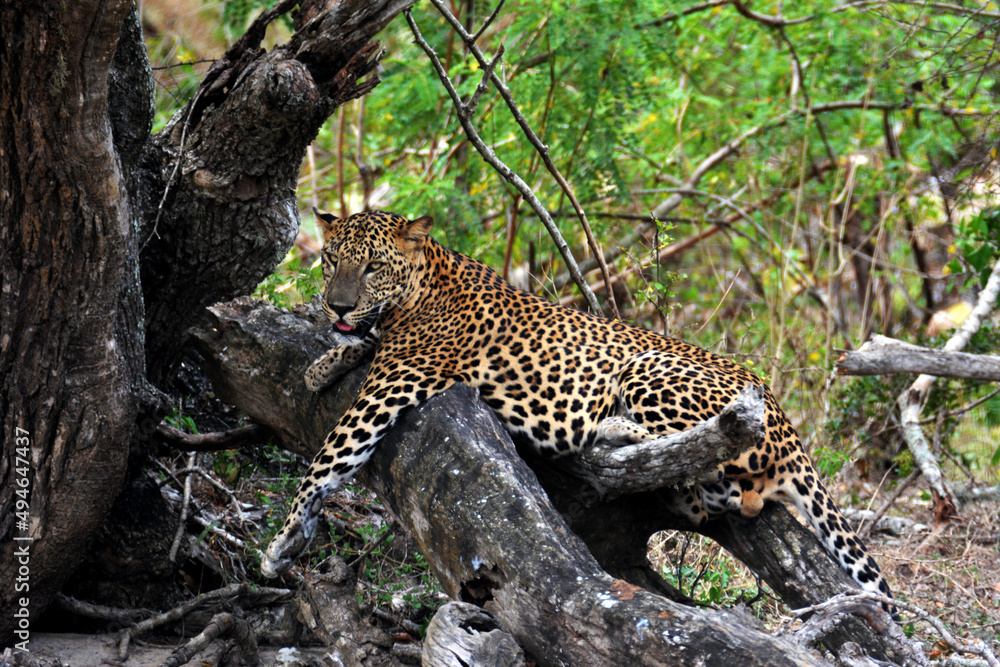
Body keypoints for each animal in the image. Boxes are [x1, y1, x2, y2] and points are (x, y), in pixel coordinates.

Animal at [261, 209, 893, 607]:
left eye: (372, 266)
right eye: (330, 260)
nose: (337, 304)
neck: (419, 288)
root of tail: (785, 419)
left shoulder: (392, 385)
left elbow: (328, 459)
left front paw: (284, 541)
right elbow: (353, 346)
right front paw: (323, 362)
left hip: (649, 369)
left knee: (701, 473)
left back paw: (611, 431)